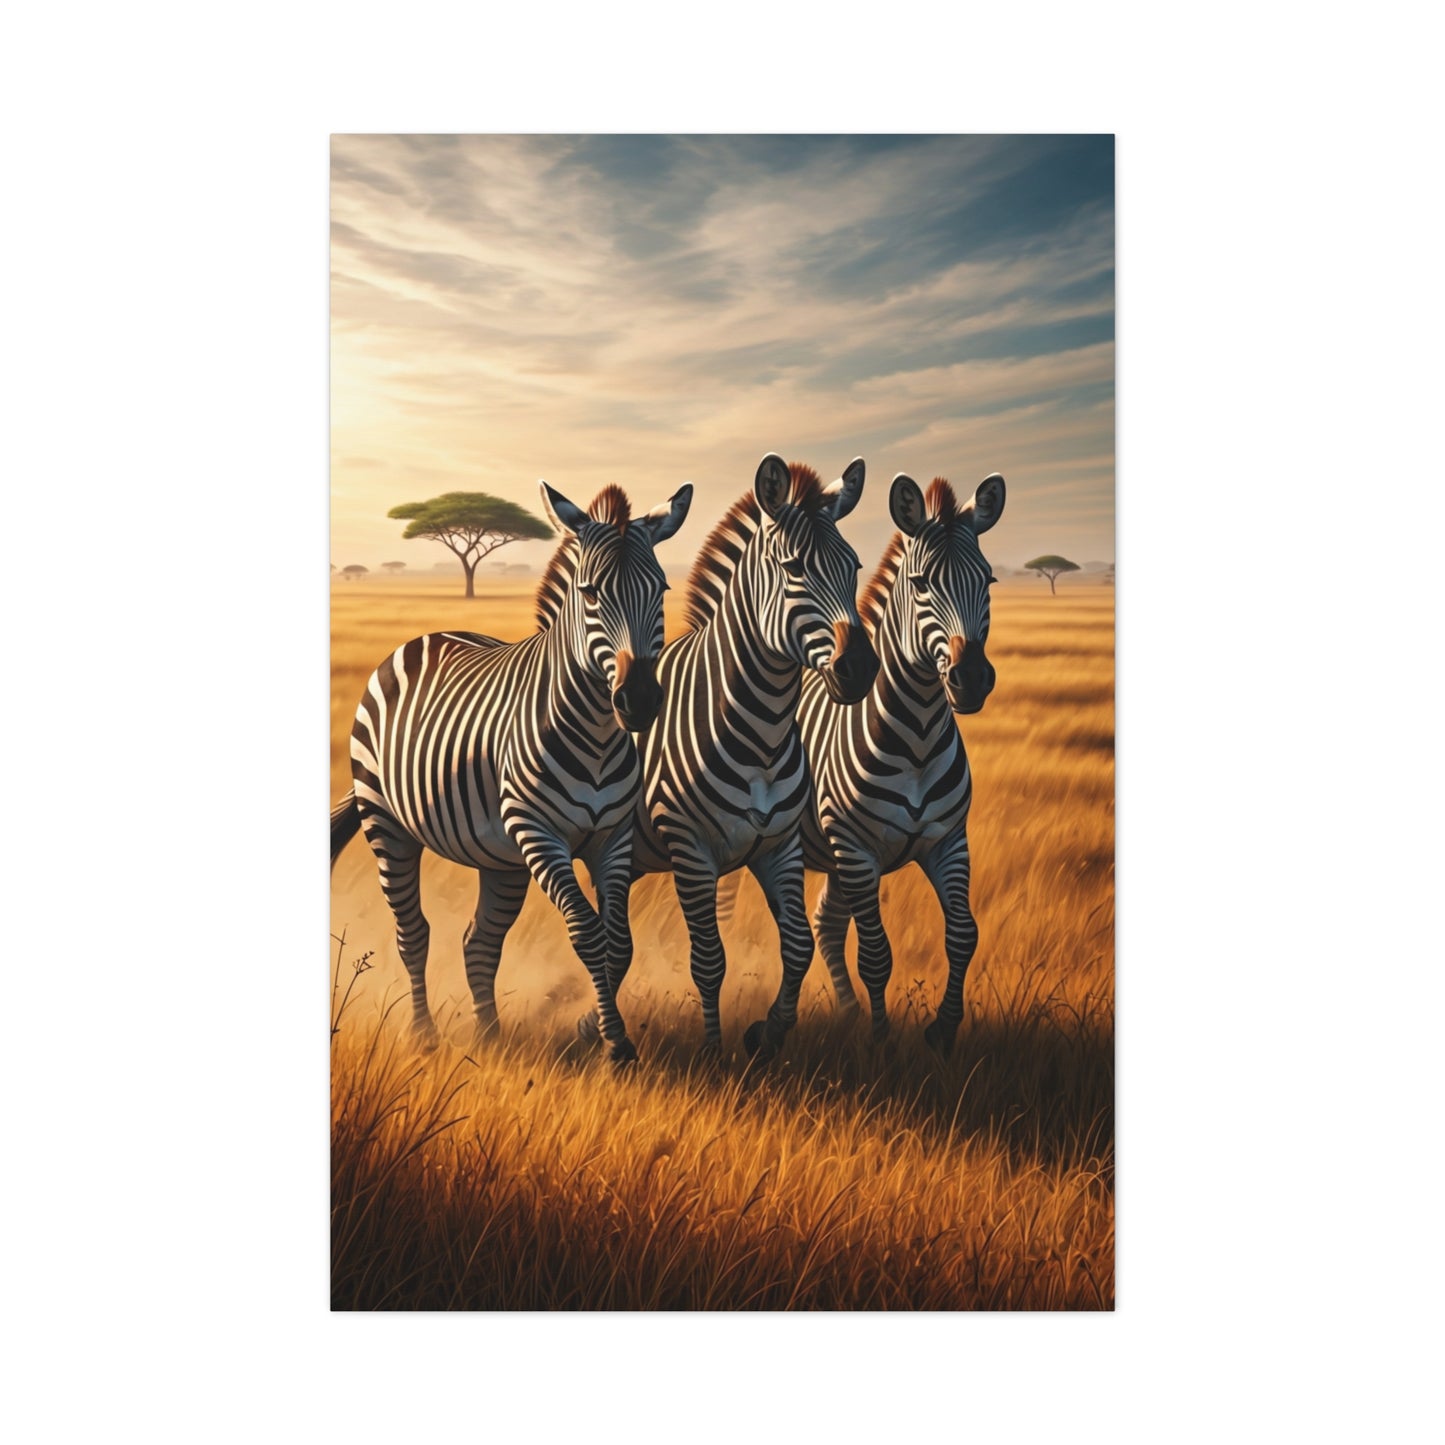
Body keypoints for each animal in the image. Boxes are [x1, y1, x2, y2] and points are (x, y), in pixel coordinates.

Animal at [329, 480, 693, 1064]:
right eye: (590, 593)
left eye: (660, 590)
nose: (638, 702)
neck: (596, 732)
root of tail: (426, 637)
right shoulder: (539, 832)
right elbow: (588, 934)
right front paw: (614, 1044)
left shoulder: (612, 837)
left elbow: (620, 941)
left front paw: (604, 1034)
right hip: (387, 823)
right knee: (414, 932)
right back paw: (424, 1036)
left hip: (498, 858)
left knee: (478, 939)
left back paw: (490, 1037)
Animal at [579, 453, 880, 1061]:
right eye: (794, 568)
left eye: (855, 566)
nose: (860, 670)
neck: (761, 735)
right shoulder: (692, 853)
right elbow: (709, 959)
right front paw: (716, 1055)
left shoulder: (779, 847)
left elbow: (797, 947)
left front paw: (767, 1034)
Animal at [796, 470, 1006, 1056]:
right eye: (921, 584)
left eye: (988, 580)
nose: (971, 679)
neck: (916, 739)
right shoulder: (857, 849)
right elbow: (876, 953)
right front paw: (883, 1042)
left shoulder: (948, 841)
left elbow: (964, 934)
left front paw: (943, 1030)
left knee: (824, 922)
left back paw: (846, 1013)